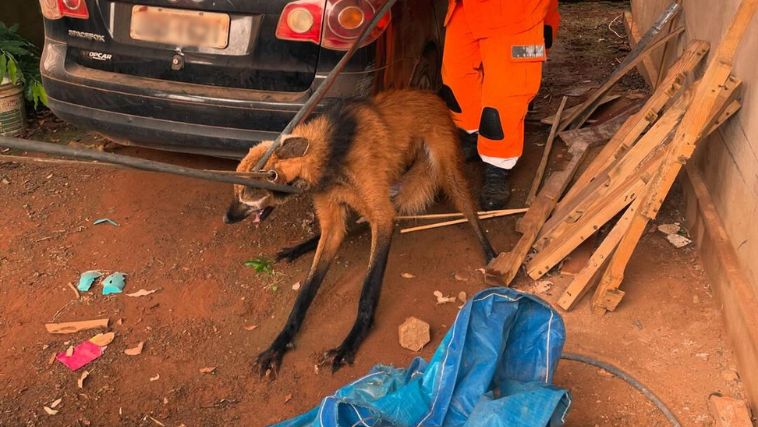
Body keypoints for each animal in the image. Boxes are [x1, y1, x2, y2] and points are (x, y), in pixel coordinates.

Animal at [226, 89, 498, 374]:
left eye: (243, 197)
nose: (227, 217)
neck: (330, 155)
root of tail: (432, 94)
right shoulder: (335, 211)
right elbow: (306, 291)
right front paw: (279, 342)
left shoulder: (382, 216)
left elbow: (368, 290)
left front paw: (349, 343)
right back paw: (299, 247)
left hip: (442, 168)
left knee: (466, 206)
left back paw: (491, 253)